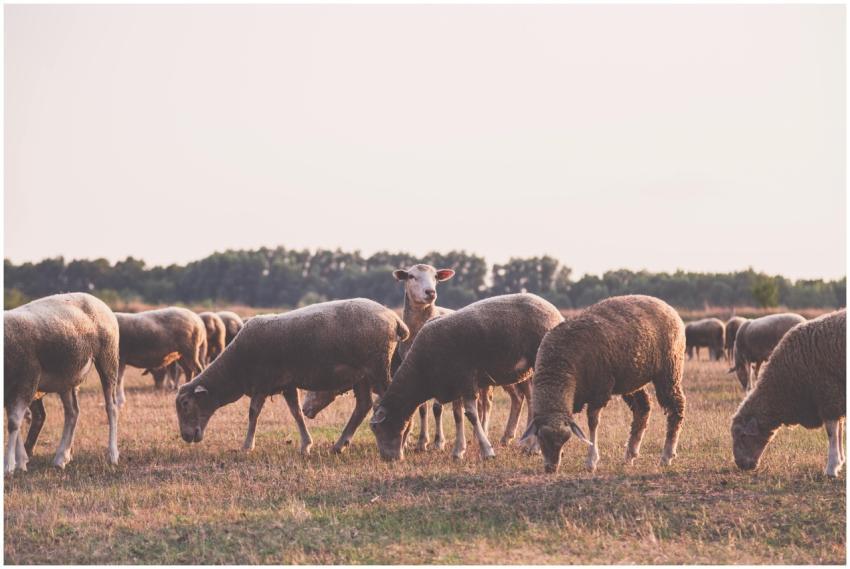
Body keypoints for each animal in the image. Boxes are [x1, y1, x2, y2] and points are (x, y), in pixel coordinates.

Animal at [4, 292, 120, 473]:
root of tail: (95, 299)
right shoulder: (11, 389)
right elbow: (14, 422)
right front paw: (21, 461)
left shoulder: (27, 379)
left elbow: (13, 423)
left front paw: (9, 465)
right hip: (67, 376)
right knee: (72, 412)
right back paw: (61, 458)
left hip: (108, 357)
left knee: (111, 407)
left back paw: (113, 455)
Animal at [175, 299, 409, 455]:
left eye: (185, 404)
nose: (185, 436)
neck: (235, 368)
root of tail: (394, 318)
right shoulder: (286, 384)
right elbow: (296, 413)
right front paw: (306, 445)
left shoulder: (262, 383)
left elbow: (253, 413)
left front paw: (247, 446)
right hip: (361, 374)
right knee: (363, 405)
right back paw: (339, 445)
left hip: (377, 367)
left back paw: (402, 439)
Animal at [369, 293, 564, 461]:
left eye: (377, 428)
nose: (388, 459)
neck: (421, 372)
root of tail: (554, 311)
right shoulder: (455, 384)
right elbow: (458, 416)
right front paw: (458, 451)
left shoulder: (466, 380)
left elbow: (471, 415)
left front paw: (487, 451)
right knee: (530, 400)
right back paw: (528, 443)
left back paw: (535, 448)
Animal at [520, 295, 686, 474]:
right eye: (540, 437)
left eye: (565, 439)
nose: (551, 468)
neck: (559, 367)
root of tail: (664, 304)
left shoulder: (599, 391)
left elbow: (593, 423)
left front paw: (591, 461)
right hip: (632, 379)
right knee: (643, 408)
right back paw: (630, 455)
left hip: (669, 370)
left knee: (676, 408)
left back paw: (667, 455)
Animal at [731, 309, 845, 477]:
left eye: (742, 436)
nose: (740, 465)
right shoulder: (836, 398)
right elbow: (840, 430)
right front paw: (841, 461)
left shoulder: (828, 394)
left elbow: (832, 433)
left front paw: (832, 467)